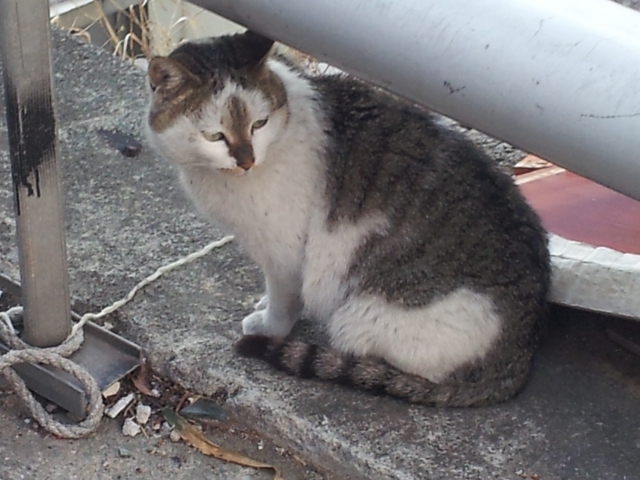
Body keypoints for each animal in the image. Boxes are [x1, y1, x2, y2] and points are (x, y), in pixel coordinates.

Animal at [145, 31, 551, 407]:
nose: (246, 160)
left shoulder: (284, 252)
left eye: (259, 124)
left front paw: (269, 326)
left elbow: (284, 299)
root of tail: (518, 357)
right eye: (215, 135)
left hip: (362, 317)